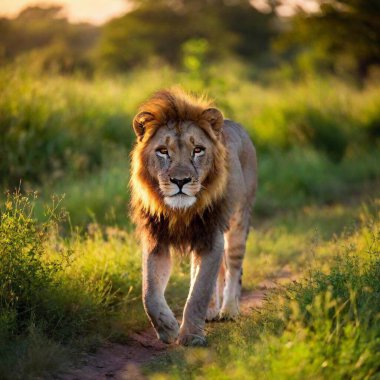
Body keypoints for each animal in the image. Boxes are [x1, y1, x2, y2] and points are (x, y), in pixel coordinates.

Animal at [129, 90, 256, 348]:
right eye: (163, 151)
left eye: (197, 149)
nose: (181, 181)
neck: (180, 212)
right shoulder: (156, 242)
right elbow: (149, 293)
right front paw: (168, 327)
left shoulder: (210, 237)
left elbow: (198, 292)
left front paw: (191, 336)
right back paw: (212, 311)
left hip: (239, 222)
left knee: (233, 268)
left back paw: (228, 310)